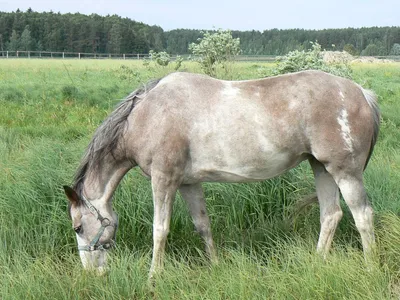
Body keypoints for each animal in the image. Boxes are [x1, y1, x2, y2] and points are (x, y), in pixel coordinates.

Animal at [63, 69, 382, 276]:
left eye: (78, 227)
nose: (91, 273)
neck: (148, 115)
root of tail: (362, 93)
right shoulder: (188, 183)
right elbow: (202, 225)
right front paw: (214, 265)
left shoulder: (164, 179)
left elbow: (159, 230)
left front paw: (154, 276)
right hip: (321, 167)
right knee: (331, 215)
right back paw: (317, 262)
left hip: (345, 171)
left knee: (362, 215)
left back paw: (370, 267)